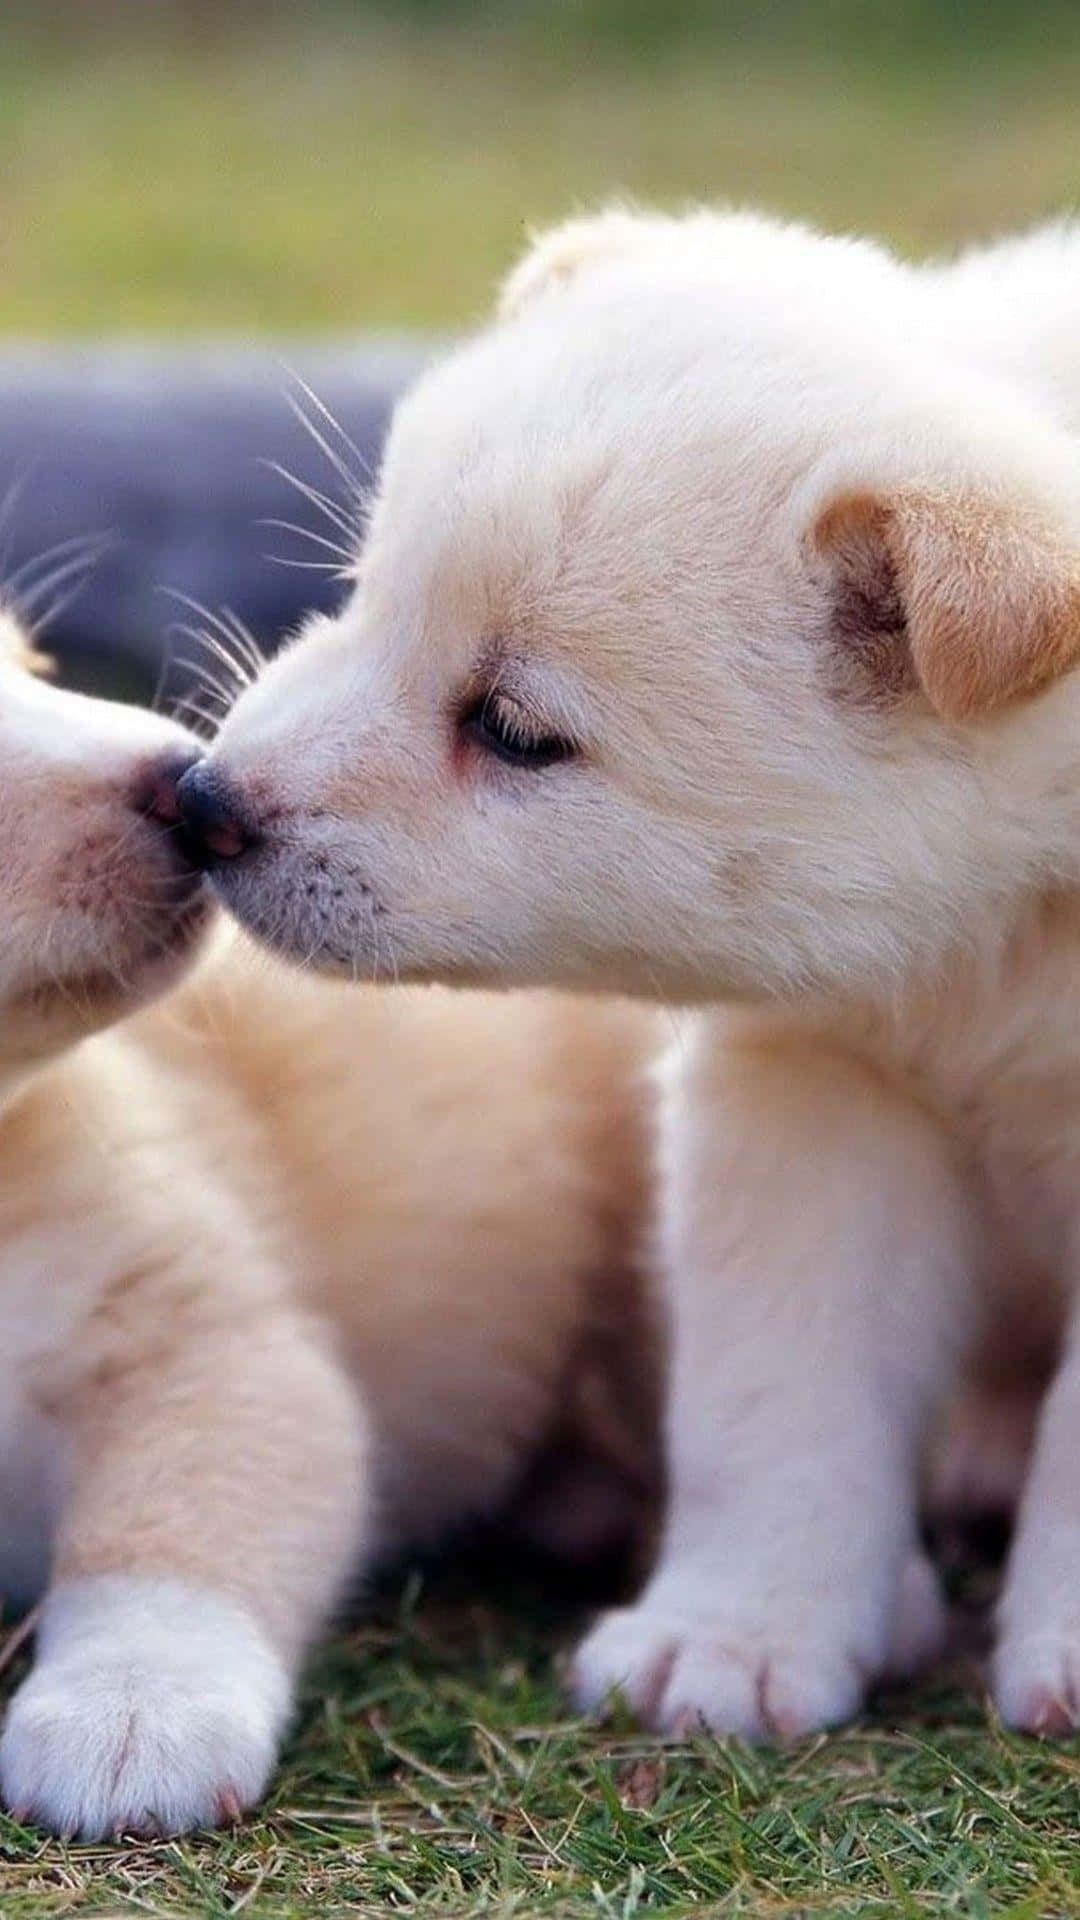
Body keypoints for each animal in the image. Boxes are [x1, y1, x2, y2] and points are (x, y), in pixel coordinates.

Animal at [180, 206, 1076, 1743]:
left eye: (514, 729)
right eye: (365, 595)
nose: (201, 805)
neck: (997, 945)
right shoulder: (819, 1086)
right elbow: (777, 1390)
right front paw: (735, 1637)